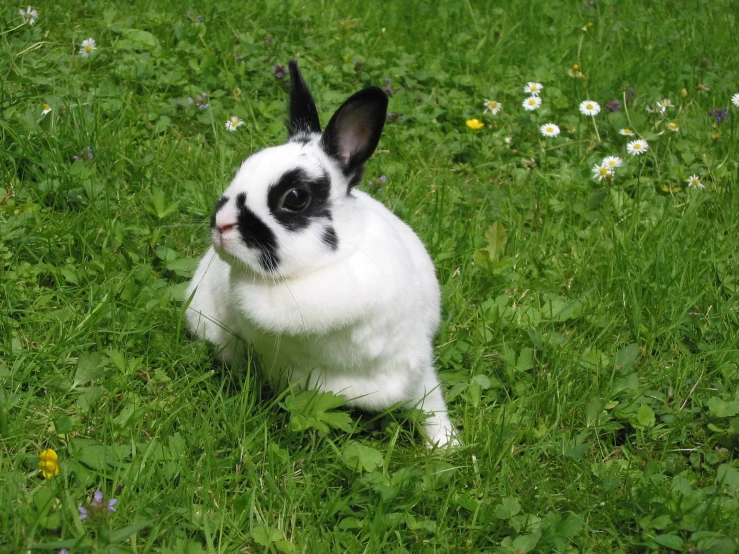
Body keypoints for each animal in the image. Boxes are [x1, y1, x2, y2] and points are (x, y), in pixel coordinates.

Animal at [185, 59, 456, 444]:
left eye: (295, 197)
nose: (220, 224)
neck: (315, 272)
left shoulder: (413, 364)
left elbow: (431, 405)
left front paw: (448, 447)